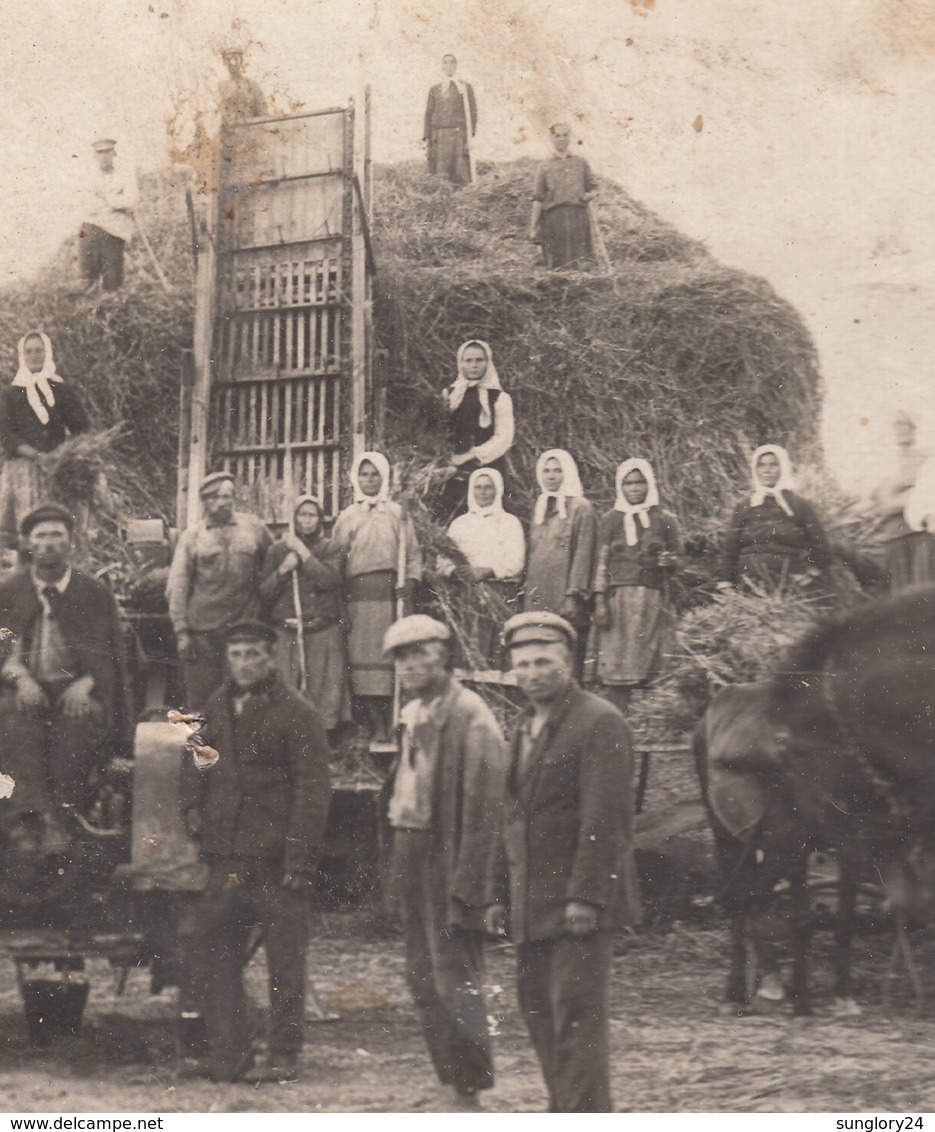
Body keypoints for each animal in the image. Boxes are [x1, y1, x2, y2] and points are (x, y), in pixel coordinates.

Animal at [692, 588, 932, 1014]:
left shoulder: (849, 845)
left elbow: (843, 916)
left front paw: (842, 993)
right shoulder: (798, 840)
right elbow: (801, 915)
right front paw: (803, 998)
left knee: (757, 895)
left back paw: (771, 980)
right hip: (729, 833)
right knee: (740, 898)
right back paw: (738, 991)